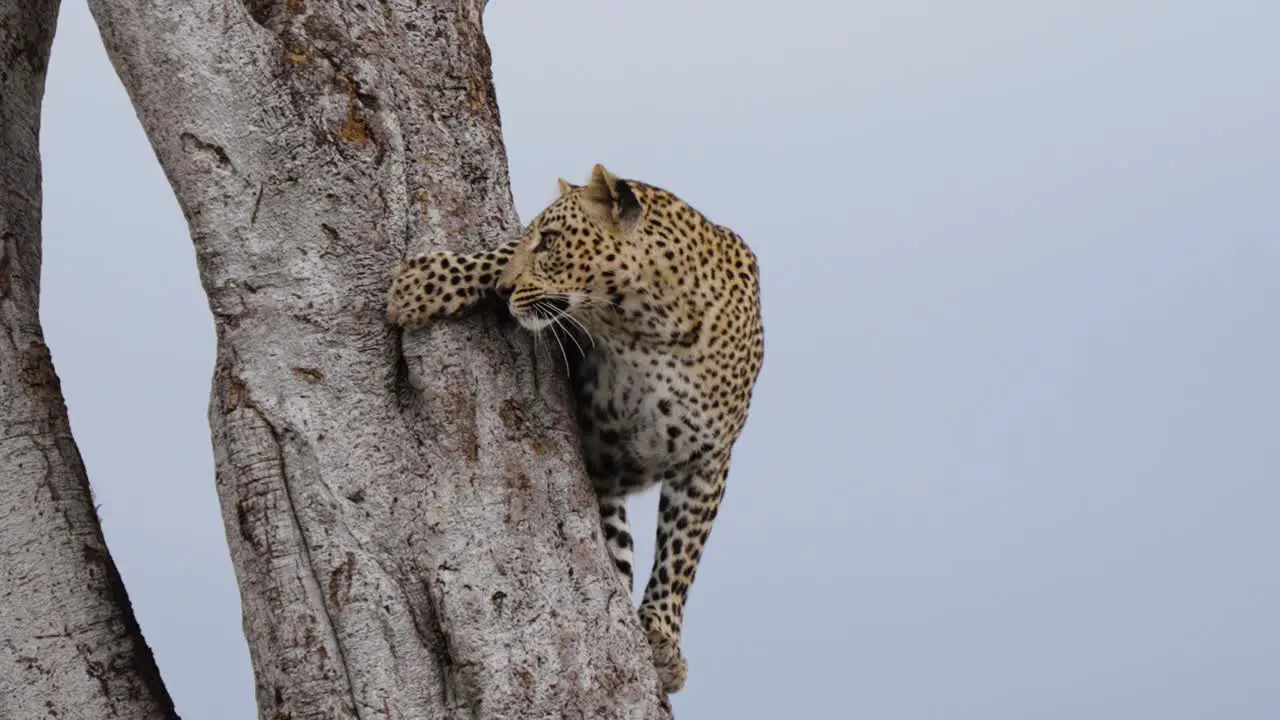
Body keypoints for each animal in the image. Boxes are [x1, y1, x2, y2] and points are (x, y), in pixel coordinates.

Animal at [384, 162, 762, 691]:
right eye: (533, 236)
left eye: (549, 241)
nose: (503, 292)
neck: (648, 326)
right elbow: (497, 255)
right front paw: (426, 285)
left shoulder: (707, 457)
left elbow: (682, 552)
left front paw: (663, 636)